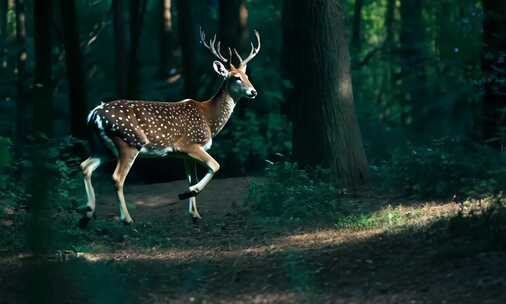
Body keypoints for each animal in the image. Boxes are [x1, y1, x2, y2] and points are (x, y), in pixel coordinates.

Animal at [80, 29, 260, 228]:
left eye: (248, 77)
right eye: (236, 78)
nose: (253, 92)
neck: (209, 119)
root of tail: (93, 114)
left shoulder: (185, 154)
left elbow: (191, 178)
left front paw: (194, 213)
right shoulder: (189, 144)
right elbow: (215, 165)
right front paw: (187, 193)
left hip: (103, 146)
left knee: (85, 166)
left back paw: (87, 214)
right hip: (128, 142)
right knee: (117, 177)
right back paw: (126, 219)